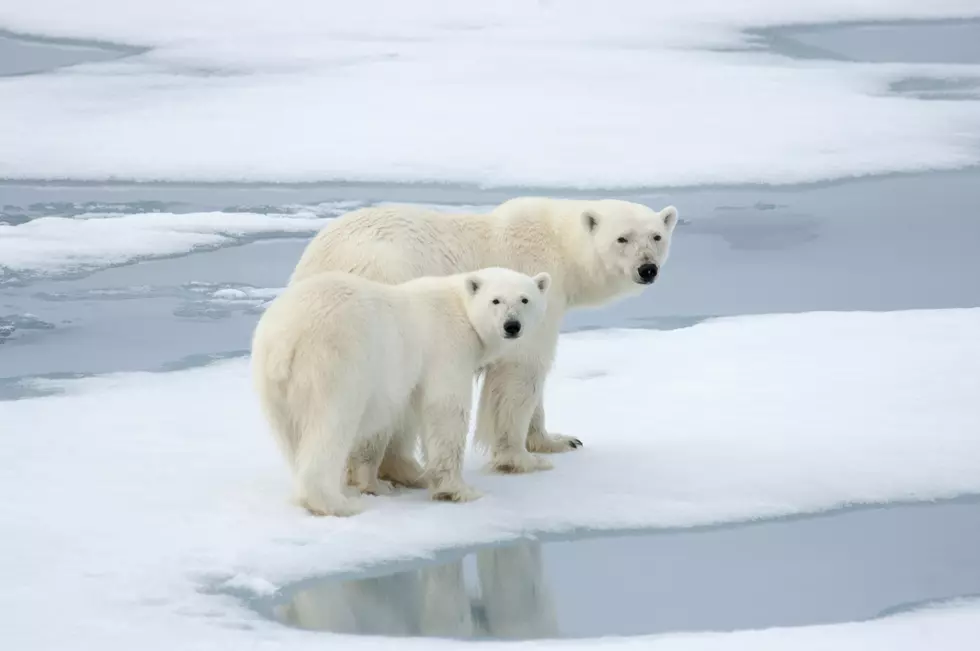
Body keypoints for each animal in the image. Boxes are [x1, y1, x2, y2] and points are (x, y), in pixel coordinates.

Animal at [251, 268, 552, 516]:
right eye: (496, 300)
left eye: (525, 299)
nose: (511, 326)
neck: (460, 305)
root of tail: (285, 338)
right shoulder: (447, 346)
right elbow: (445, 409)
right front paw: (458, 490)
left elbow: (398, 417)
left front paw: (387, 480)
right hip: (333, 362)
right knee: (331, 425)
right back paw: (337, 503)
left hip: (272, 381)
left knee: (291, 435)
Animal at [288, 199, 676, 484]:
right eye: (622, 238)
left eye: (656, 236)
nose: (647, 269)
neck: (558, 243)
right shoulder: (529, 289)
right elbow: (521, 372)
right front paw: (521, 458)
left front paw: (558, 440)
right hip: (387, 284)